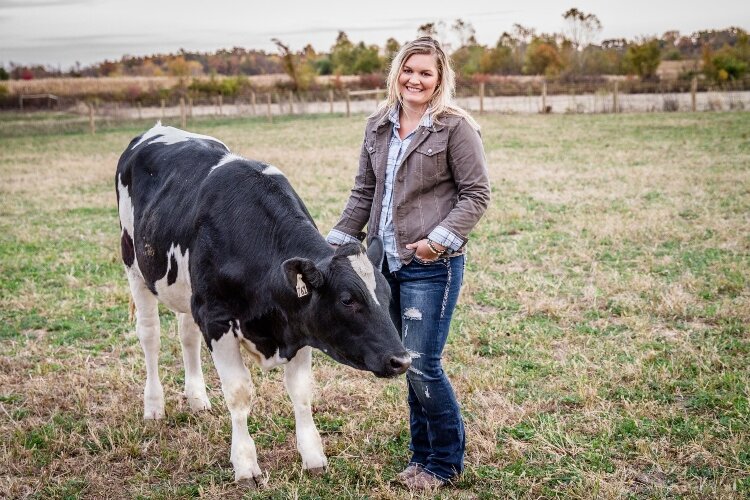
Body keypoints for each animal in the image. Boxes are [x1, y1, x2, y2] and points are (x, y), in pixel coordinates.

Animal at [117, 123, 412, 486]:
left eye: (387, 295)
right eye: (348, 299)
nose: (402, 360)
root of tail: (156, 129)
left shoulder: (298, 325)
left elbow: (301, 391)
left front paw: (313, 457)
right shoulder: (216, 319)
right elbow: (239, 393)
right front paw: (245, 464)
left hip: (185, 291)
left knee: (187, 336)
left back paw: (197, 398)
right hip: (134, 265)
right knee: (150, 337)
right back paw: (154, 406)